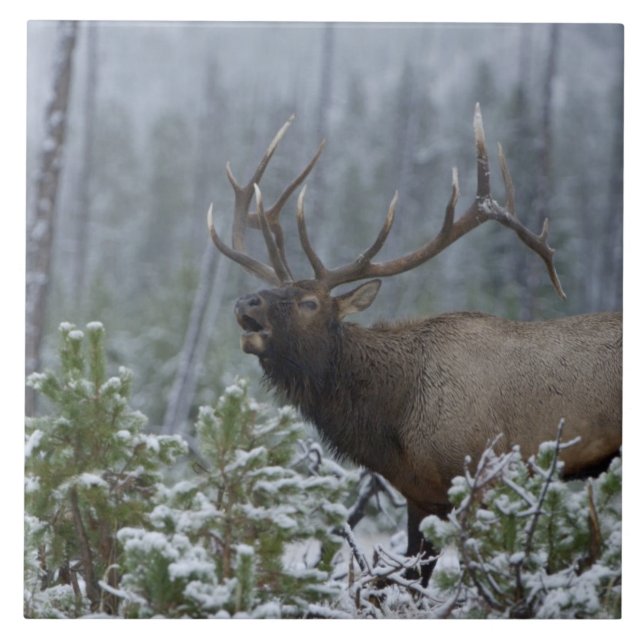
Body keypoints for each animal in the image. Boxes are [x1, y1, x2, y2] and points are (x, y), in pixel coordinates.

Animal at [206, 105, 622, 582]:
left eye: (310, 302)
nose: (245, 302)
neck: (394, 417)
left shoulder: (481, 475)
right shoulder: (420, 493)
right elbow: (410, 576)